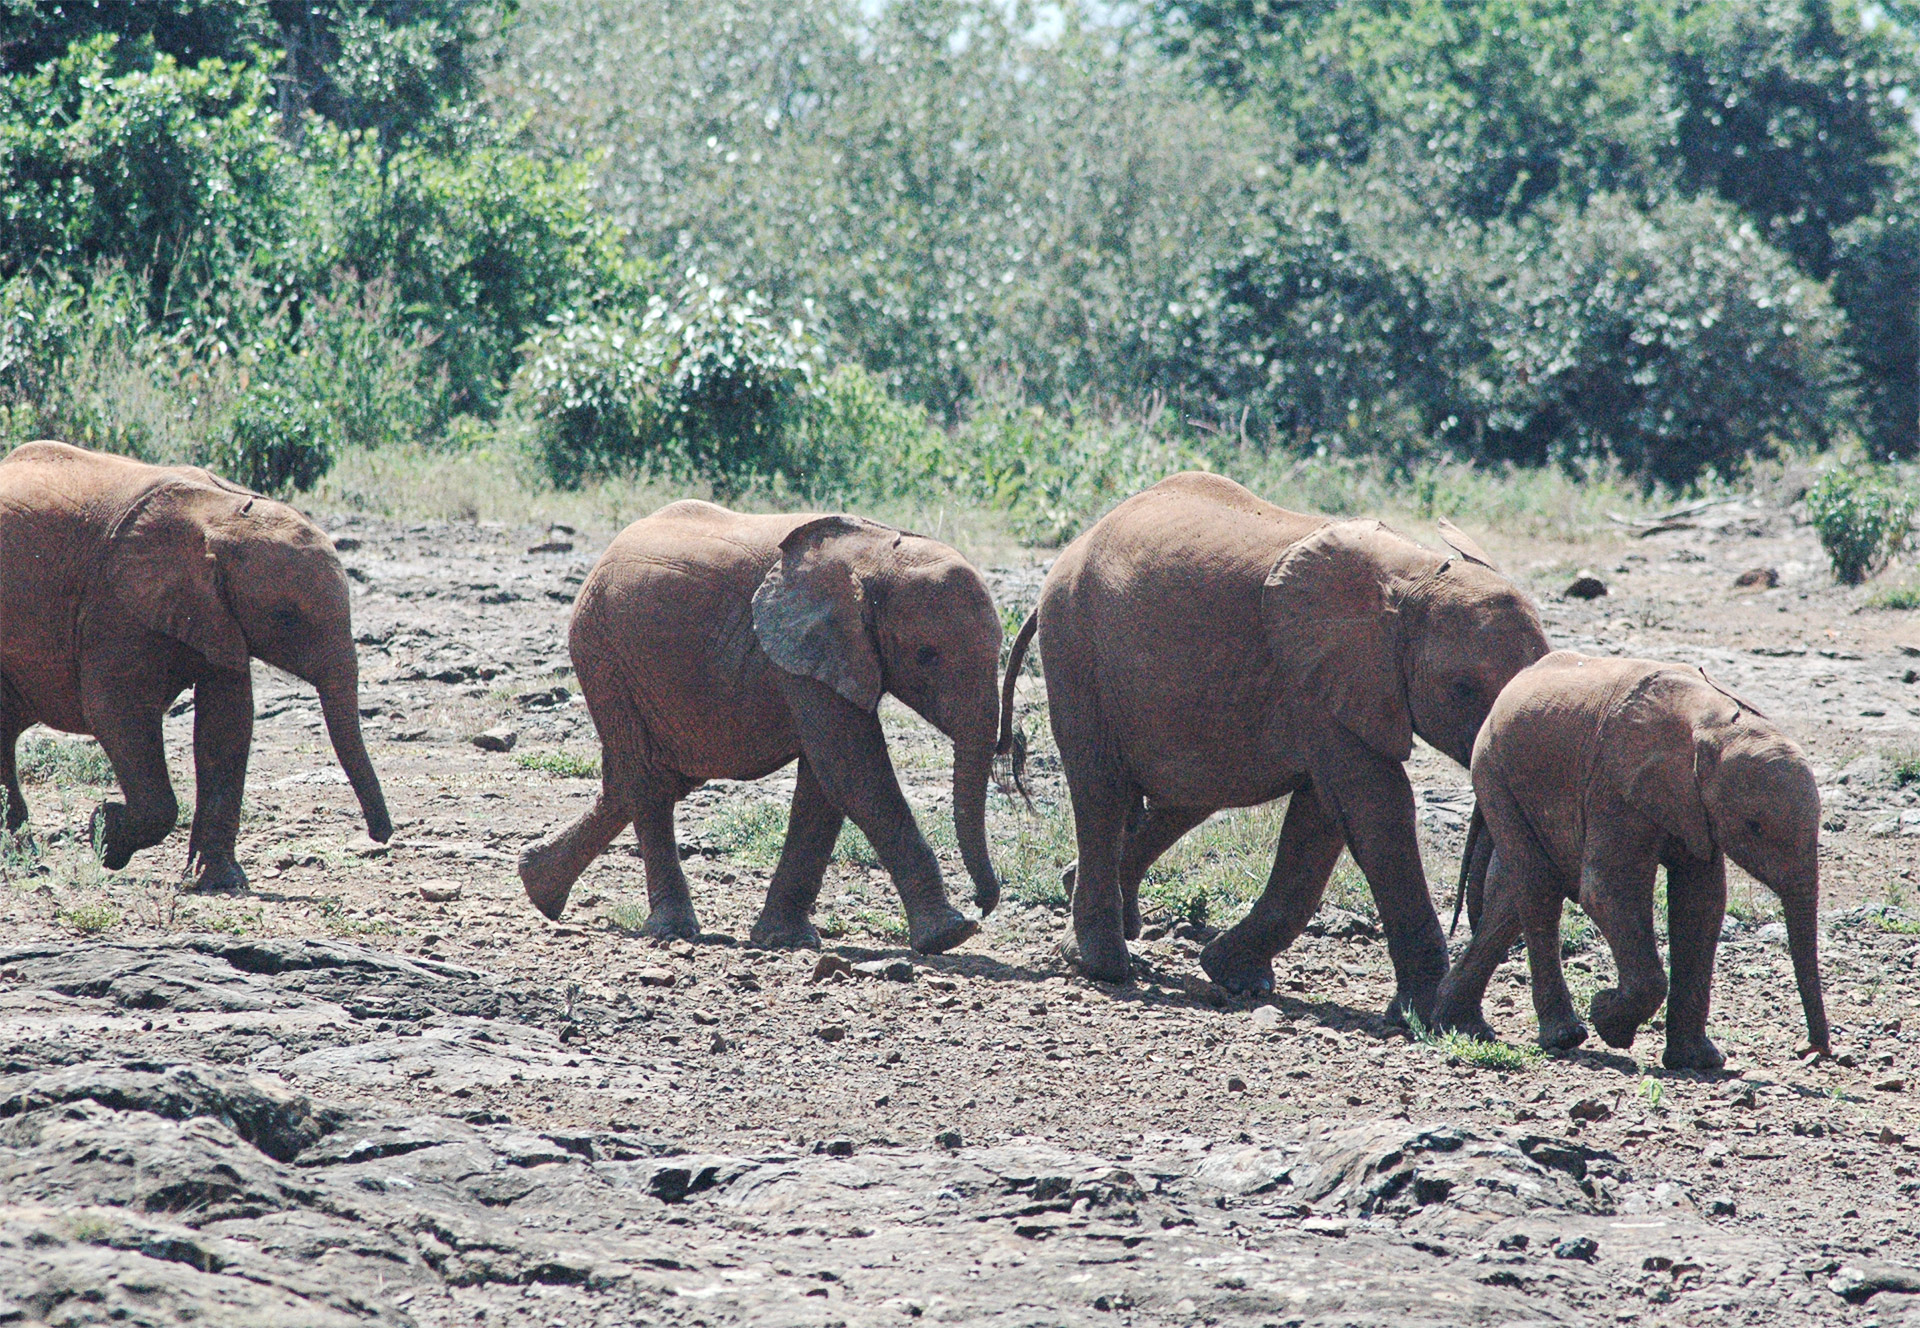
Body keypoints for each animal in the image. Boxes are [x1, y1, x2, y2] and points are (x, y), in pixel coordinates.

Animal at [0, 441, 393, 886]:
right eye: (287, 618)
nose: (380, 836)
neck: (222, 515)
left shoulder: (215, 612)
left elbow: (227, 721)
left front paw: (217, 883)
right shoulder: (114, 603)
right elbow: (116, 712)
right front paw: (105, 832)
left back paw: (24, 858)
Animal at [518, 498, 1013, 955]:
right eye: (927, 655)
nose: (984, 904)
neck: (876, 552)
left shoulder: (821, 653)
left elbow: (825, 785)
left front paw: (784, 940)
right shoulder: (802, 649)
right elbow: (854, 774)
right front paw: (949, 935)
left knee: (645, 778)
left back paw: (538, 886)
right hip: (603, 653)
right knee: (648, 781)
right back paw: (670, 930)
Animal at [998, 472, 1551, 1013]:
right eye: (1463, 688)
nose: (1468, 919)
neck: (1416, 575)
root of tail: (1076, 545)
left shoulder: (1330, 683)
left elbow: (1324, 816)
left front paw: (1236, 977)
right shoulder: (1318, 676)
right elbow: (1376, 807)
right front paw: (1427, 1015)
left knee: (1190, 792)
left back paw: (1089, 908)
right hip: (1075, 645)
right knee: (1104, 790)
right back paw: (1102, 964)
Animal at [1443, 648, 1827, 1074]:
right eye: (1754, 826)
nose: (1807, 1051)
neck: (1710, 723)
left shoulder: (1694, 806)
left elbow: (1701, 903)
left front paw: (1699, 1061)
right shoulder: (1616, 783)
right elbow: (1606, 891)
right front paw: (1606, 1019)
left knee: (1510, 897)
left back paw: (1457, 1023)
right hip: (1494, 772)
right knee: (1537, 889)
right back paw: (1563, 1037)